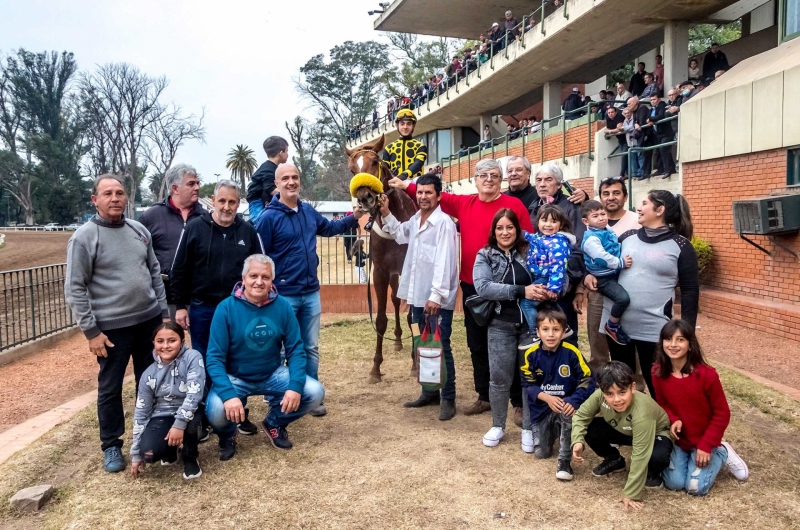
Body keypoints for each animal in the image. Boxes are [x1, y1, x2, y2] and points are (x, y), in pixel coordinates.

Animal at [346, 134, 416, 382]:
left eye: (375, 162)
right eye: (352, 169)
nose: (365, 197)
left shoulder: (409, 270)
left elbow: (412, 315)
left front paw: (416, 364)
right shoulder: (380, 272)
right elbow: (381, 319)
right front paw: (375, 368)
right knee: (395, 300)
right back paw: (397, 340)